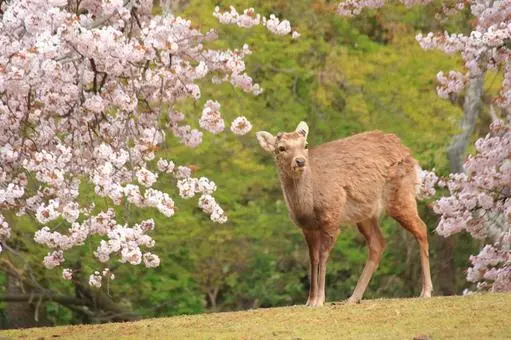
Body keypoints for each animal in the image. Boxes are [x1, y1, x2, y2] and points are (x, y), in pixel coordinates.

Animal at [256, 121, 432, 306]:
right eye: (281, 148)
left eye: (305, 145)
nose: (300, 161)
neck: (307, 207)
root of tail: (407, 152)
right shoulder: (307, 227)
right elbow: (313, 258)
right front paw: (310, 301)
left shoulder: (331, 218)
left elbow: (323, 256)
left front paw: (320, 300)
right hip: (365, 214)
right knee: (378, 243)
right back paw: (354, 297)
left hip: (401, 195)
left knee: (421, 228)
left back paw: (426, 291)